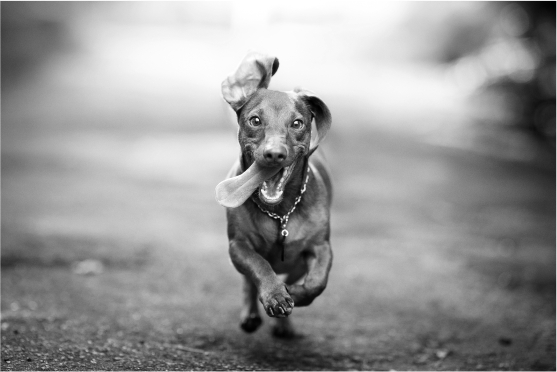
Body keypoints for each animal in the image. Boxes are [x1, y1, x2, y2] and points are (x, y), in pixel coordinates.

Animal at [215, 52, 332, 340]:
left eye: (297, 123)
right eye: (255, 120)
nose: (274, 154)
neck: (280, 212)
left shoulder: (321, 247)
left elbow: (317, 282)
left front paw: (296, 294)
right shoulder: (238, 246)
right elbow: (259, 266)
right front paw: (275, 295)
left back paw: (284, 325)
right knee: (248, 281)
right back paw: (251, 314)